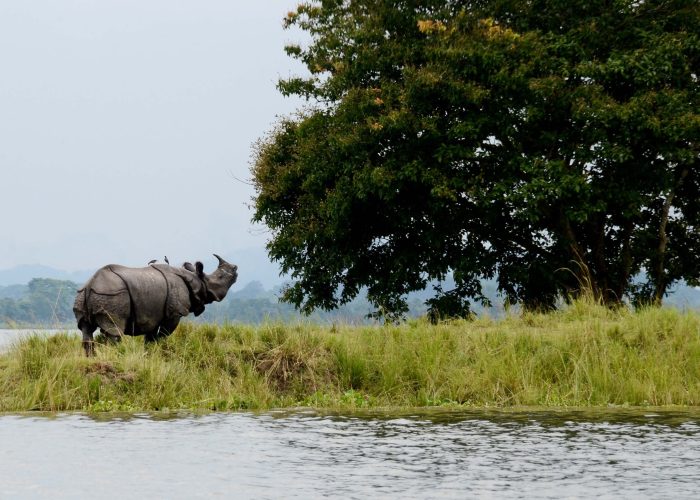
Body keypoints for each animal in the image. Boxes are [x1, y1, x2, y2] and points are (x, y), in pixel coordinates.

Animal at [74, 254, 238, 356]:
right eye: (220, 278)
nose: (236, 269)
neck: (194, 278)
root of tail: (90, 285)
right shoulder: (175, 312)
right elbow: (164, 334)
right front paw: (162, 350)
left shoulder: (152, 314)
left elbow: (150, 338)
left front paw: (149, 354)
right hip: (112, 295)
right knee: (114, 332)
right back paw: (114, 357)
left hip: (83, 295)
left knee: (86, 328)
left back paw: (91, 358)